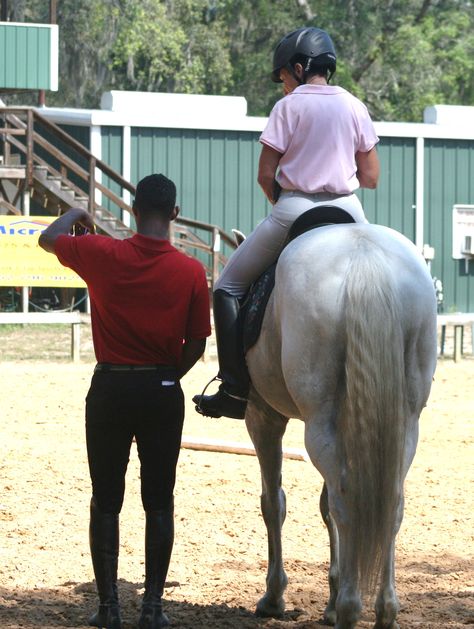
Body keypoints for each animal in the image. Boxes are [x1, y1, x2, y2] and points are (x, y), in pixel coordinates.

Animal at [244, 223, 436, 628]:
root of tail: (364, 254)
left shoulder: (262, 416)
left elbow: (273, 502)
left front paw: (274, 597)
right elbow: (322, 505)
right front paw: (329, 601)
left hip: (317, 422)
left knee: (345, 503)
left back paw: (349, 607)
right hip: (403, 425)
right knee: (390, 502)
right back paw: (383, 610)